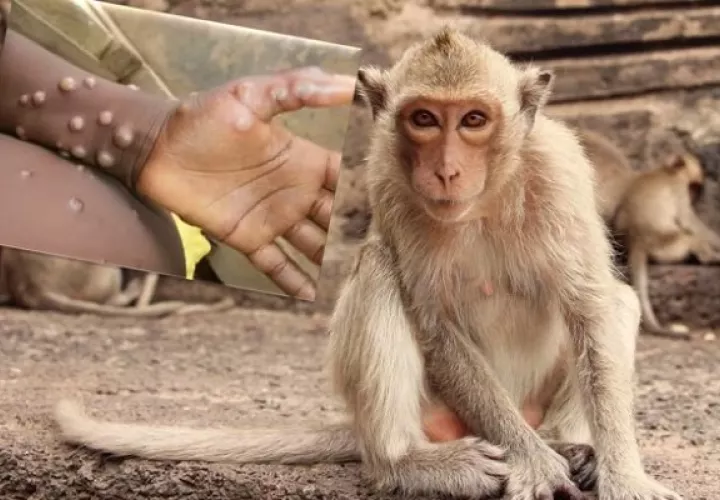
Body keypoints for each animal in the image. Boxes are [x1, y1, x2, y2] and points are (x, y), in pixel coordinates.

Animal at [52, 30, 680, 500]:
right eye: (424, 119)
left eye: (474, 120)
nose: (446, 170)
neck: (483, 201)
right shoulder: (387, 179)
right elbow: (433, 322)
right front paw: (535, 463)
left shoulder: (560, 174)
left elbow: (590, 307)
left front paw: (624, 476)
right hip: (434, 413)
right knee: (379, 267)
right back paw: (409, 464)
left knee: (616, 301)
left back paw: (568, 445)